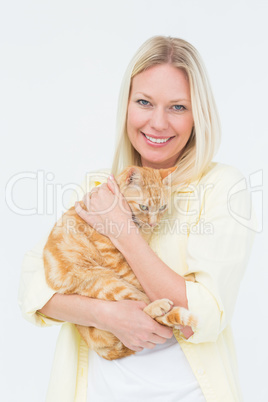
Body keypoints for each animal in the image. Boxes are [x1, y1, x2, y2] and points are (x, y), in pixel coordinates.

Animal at [43, 165, 197, 360]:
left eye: (162, 206)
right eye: (144, 206)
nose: (153, 224)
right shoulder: (115, 260)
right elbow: (138, 283)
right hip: (105, 281)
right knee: (141, 306)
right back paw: (160, 307)